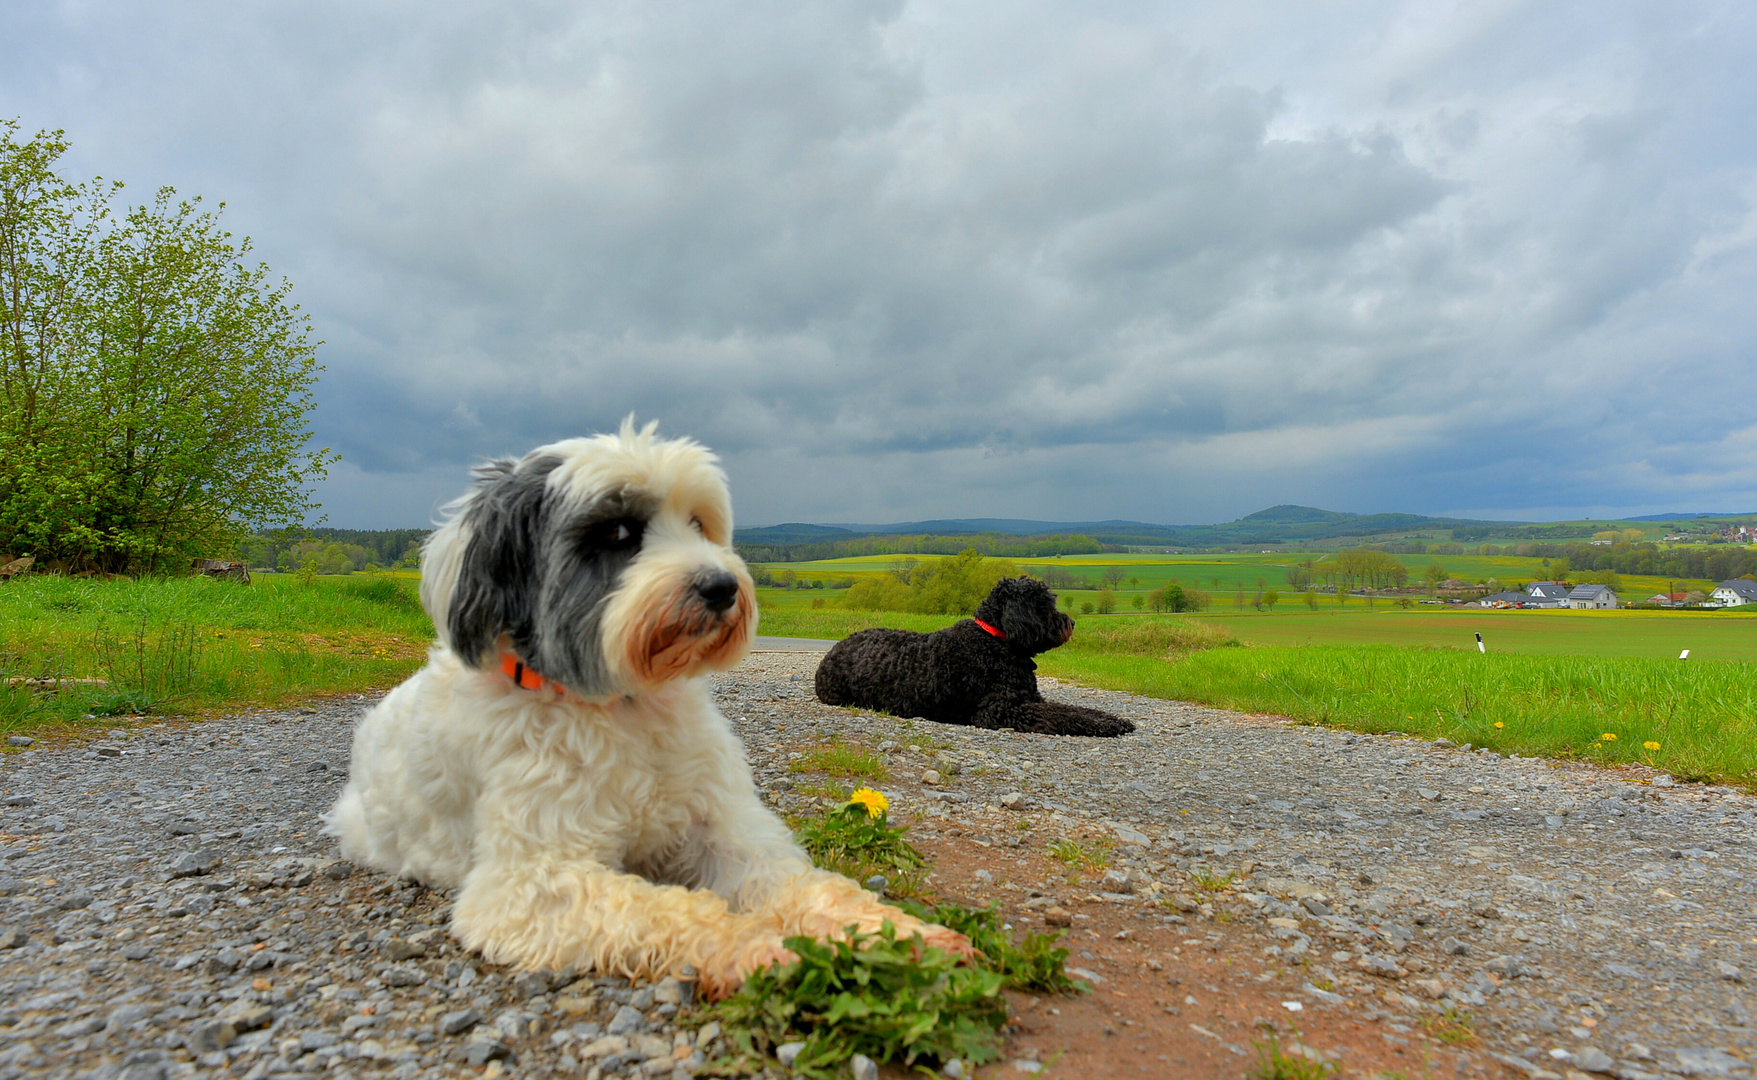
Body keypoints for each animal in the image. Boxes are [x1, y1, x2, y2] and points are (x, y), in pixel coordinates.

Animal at [323, 419, 969, 997]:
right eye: (616, 532)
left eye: (698, 522)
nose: (721, 587)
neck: (622, 707)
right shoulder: (528, 885)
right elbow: (666, 908)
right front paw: (755, 945)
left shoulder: (721, 827)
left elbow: (801, 883)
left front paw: (889, 931)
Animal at [811, 579, 1131, 741]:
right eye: (1045, 605)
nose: (1072, 622)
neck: (995, 639)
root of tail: (832, 651)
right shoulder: (1000, 711)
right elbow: (1060, 715)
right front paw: (1105, 726)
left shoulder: (1031, 699)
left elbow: (1073, 709)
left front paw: (1112, 719)